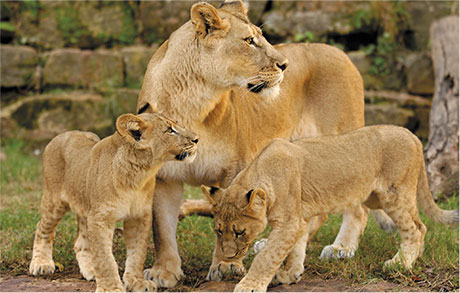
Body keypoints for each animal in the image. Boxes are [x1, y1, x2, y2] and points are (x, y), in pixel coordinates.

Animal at [138, 0, 380, 288]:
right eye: (249, 41)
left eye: (261, 37)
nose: (285, 65)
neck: (192, 102)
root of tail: (339, 52)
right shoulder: (165, 176)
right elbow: (162, 228)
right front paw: (163, 271)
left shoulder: (235, 169)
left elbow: (229, 217)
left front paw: (226, 265)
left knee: (358, 206)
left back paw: (342, 247)